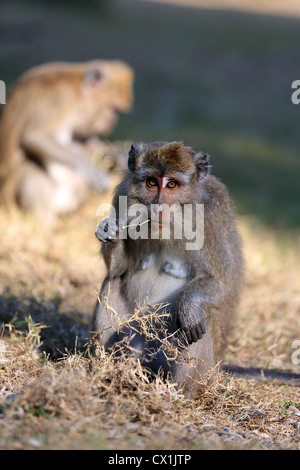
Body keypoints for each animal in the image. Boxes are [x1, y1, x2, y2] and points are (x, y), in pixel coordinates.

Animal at [0, 59, 134, 221]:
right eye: (112, 109)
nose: (112, 121)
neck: (77, 90)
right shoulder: (61, 101)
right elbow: (34, 137)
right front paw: (93, 171)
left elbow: (85, 139)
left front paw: (117, 156)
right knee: (33, 164)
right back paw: (45, 218)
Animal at [92, 141, 245, 398]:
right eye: (152, 182)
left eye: (172, 184)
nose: (158, 207)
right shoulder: (122, 196)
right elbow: (119, 269)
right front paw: (109, 229)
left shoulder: (210, 218)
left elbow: (220, 283)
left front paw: (188, 305)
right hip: (139, 345)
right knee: (111, 283)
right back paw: (109, 371)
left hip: (199, 368)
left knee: (202, 315)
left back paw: (176, 394)